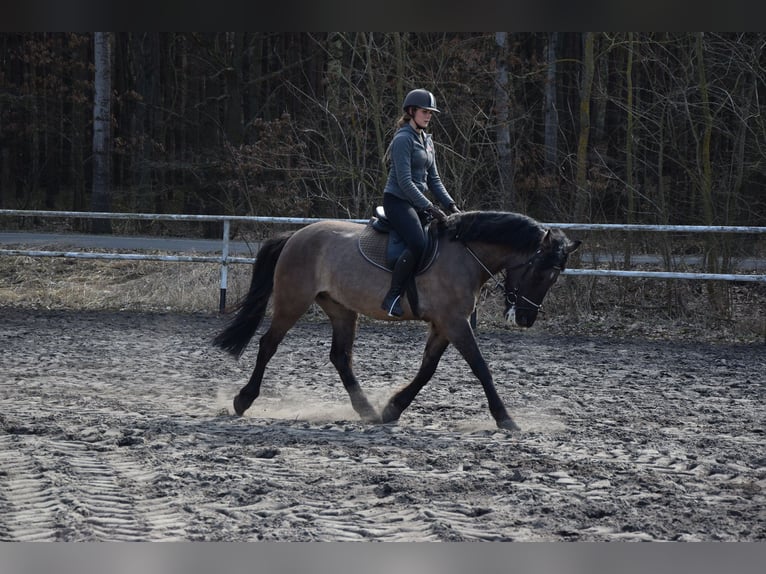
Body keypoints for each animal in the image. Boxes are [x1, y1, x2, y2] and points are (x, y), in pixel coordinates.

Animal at [213, 210, 581, 431]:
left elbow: (428, 369)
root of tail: (295, 236)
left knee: (340, 357)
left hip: (341, 309)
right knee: (268, 345)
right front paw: (506, 419)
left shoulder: (445, 324)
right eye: (541, 272)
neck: (465, 256)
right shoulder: (454, 322)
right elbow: (480, 367)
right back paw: (243, 400)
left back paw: (367, 410)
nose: (526, 319)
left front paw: (393, 409)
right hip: (293, 301)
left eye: (553, 277)